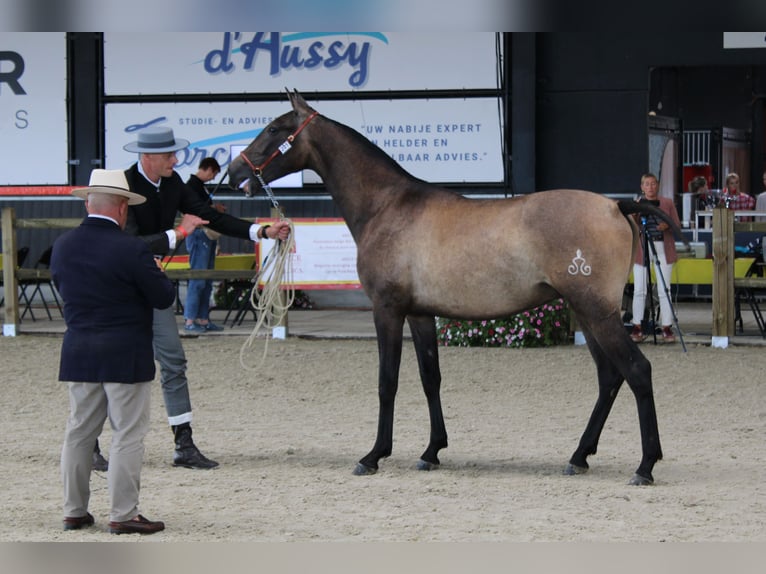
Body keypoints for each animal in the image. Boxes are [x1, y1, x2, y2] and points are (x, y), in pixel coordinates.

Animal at [229, 89, 678, 486]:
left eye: (274, 128)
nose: (234, 174)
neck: (387, 205)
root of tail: (614, 205)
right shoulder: (420, 313)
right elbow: (431, 377)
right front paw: (431, 452)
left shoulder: (387, 310)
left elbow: (387, 381)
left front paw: (373, 455)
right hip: (585, 311)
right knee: (609, 377)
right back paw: (579, 456)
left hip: (597, 312)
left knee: (637, 371)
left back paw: (645, 466)